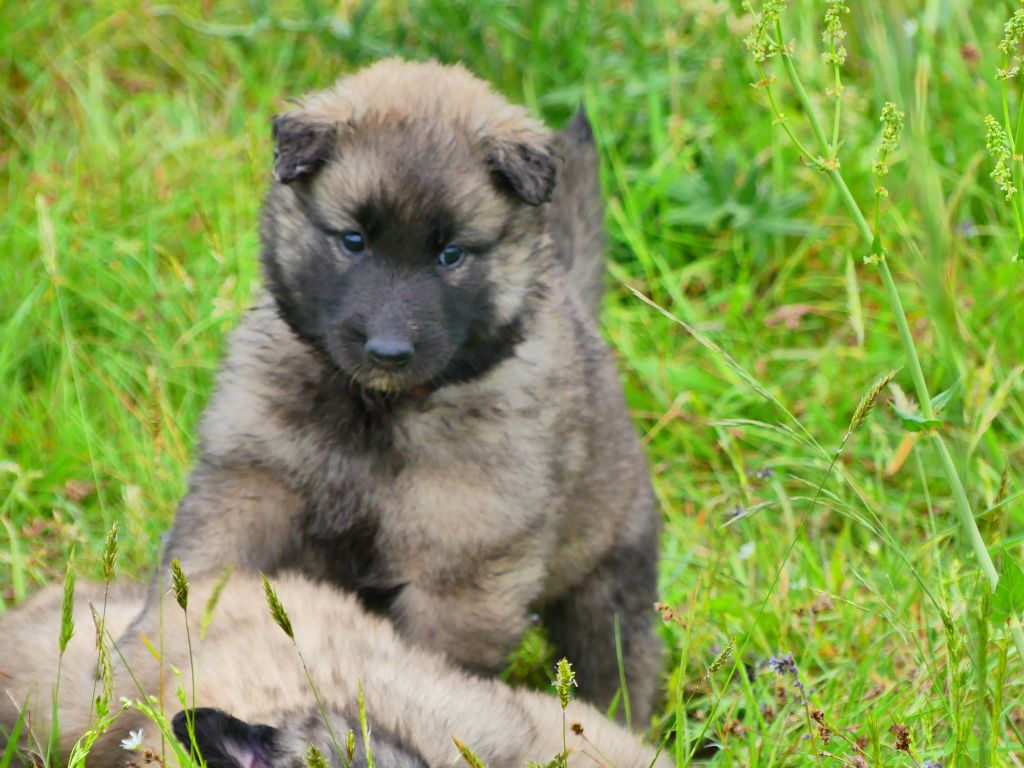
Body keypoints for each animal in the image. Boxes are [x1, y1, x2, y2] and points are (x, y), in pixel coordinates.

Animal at [140, 58, 659, 720]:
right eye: (353, 241)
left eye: (451, 255)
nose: (387, 352)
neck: (375, 409)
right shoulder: (247, 487)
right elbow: (197, 581)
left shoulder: (461, 567)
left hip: (608, 578)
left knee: (616, 661)